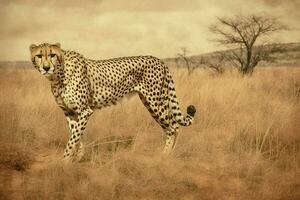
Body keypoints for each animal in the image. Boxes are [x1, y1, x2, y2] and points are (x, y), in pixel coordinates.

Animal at [29, 43, 196, 162]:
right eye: (39, 55)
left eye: (52, 55)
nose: (46, 68)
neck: (58, 75)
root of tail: (158, 59)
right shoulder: (69, 112)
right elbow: (76, 135)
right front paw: (78, 156)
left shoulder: (84, 111)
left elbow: (73, 138)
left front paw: (64, 161)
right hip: (150, 102)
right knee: (171, 127)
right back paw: (168, 153)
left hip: (155, 101)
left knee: (173, 126)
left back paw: (165, 155)